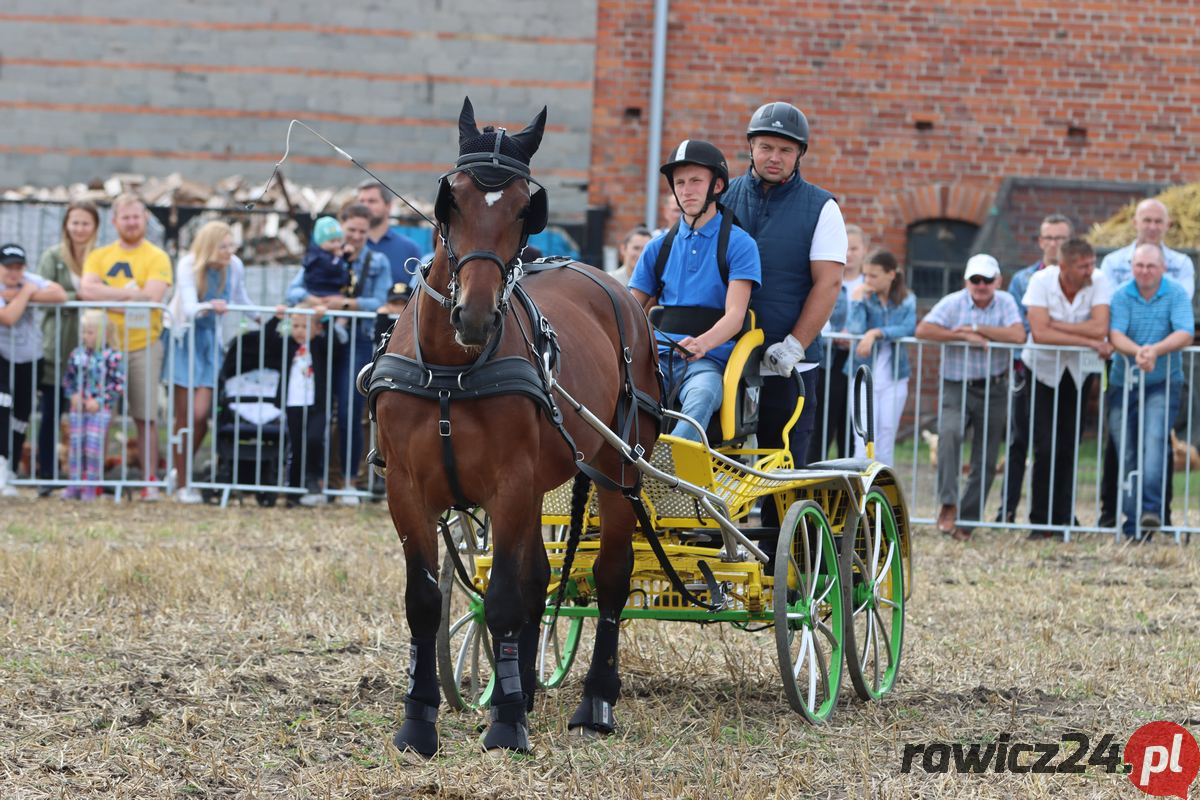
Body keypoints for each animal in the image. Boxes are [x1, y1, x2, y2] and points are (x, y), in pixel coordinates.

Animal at [367, 100, 662, 758]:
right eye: (452, 198)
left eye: (528, 208)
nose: (473, 315)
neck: (451, 368)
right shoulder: (406, 489)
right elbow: (427, 601)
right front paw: (420, 722)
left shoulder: (511, 483)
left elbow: (501, 597)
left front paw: (504, 726)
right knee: (540, 580)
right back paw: (522, 687)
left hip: (617, 468)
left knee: (609, 576)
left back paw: (595, 701)